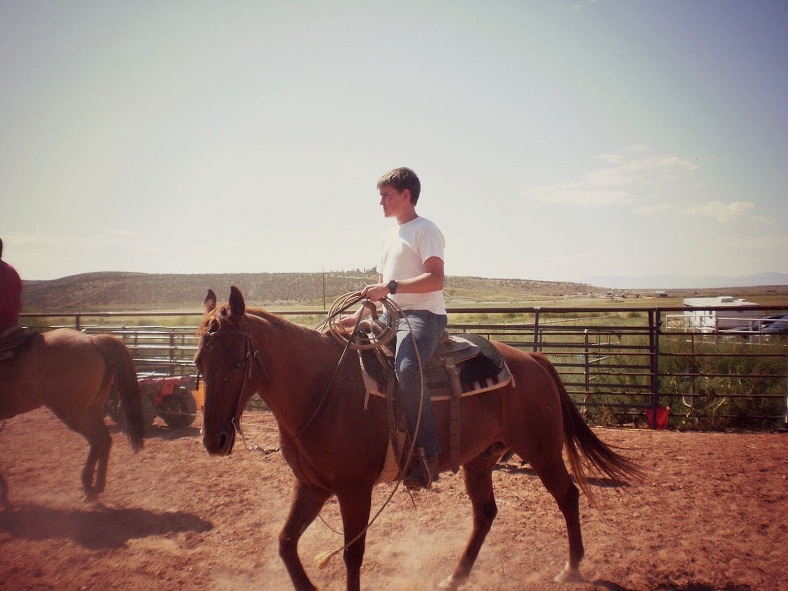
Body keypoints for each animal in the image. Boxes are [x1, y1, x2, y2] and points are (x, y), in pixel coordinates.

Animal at [0, 328, 145, 508]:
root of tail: (92, 340)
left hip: (74, 412)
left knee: (98, 440)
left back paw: (88, 487)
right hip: (92, 408)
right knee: (104, 440)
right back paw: (96, 488)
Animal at [195, 290, 640, 591]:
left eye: (237, 361)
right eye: (199, 361)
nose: (215, 440)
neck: (321, 389)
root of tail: (532, 360)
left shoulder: (353, 490)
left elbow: (352, 553)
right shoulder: (312, 486)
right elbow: (286, 543)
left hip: (542, 449)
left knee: (567, 495)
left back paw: (572, 566)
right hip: (481, 458)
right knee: (485, 513)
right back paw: (455, 576)